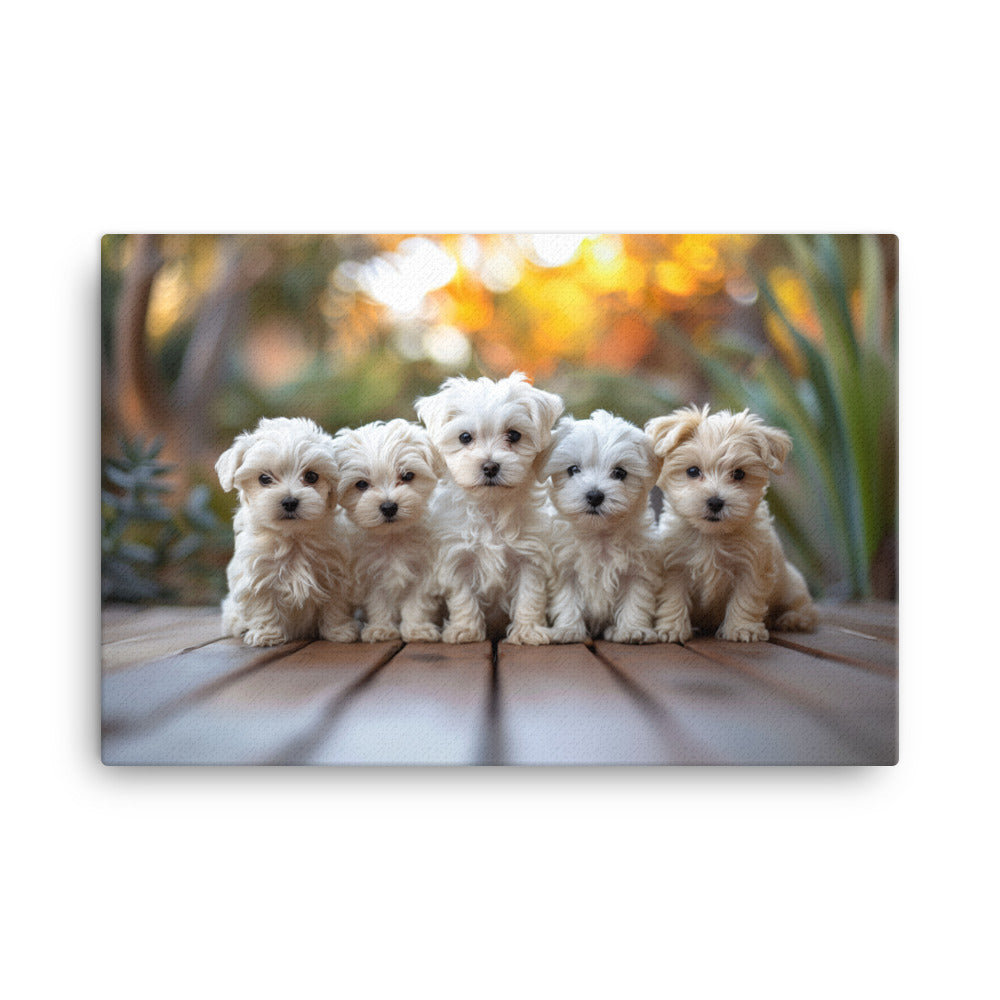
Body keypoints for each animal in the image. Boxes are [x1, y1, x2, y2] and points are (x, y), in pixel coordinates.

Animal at [215, 416, 360, 644]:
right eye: (264, 479)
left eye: (311, 476)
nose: (290, 501)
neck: (293, 537)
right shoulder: (257, 576)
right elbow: (263, 605)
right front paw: (267, 634)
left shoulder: (335, 574)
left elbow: (335, 605)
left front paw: (339, 631)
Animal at [332, 418, 446, 644]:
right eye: (361, 484)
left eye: (408, 475)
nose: (388, 507)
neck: (393, 537)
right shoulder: (371, 574)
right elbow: (379, 603)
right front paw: (381, 629)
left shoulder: (423, 572)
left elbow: (416, 603)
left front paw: (417, 629)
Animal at [414, 372, 568, 644]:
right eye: (465, 437)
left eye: (514, 435)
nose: (490, 466)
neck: (491, 506)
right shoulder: (457, 558)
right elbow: (463, 597)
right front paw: (465, 630)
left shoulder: (531, 557)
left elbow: (529, 596)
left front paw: (527, 631)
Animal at [544, 410, 660, 644]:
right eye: (573, 469)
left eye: (620, 473)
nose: (595, 495)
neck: (599, 534)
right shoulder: (564, 568)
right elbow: (567, 599)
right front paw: (568, 629)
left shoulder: (638, 568)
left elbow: (636, 598)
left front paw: (633, 629)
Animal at [648, 404, 820, 644]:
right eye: (692, 471)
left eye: (739, 474)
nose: (715, 502)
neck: (712, 536)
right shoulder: (674, 566)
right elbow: (673, 598)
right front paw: (671, 628)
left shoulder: (751, 567)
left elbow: (745, 599)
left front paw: (742, 629)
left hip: (791, 586)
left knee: (805, 608)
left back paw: (791, 619)